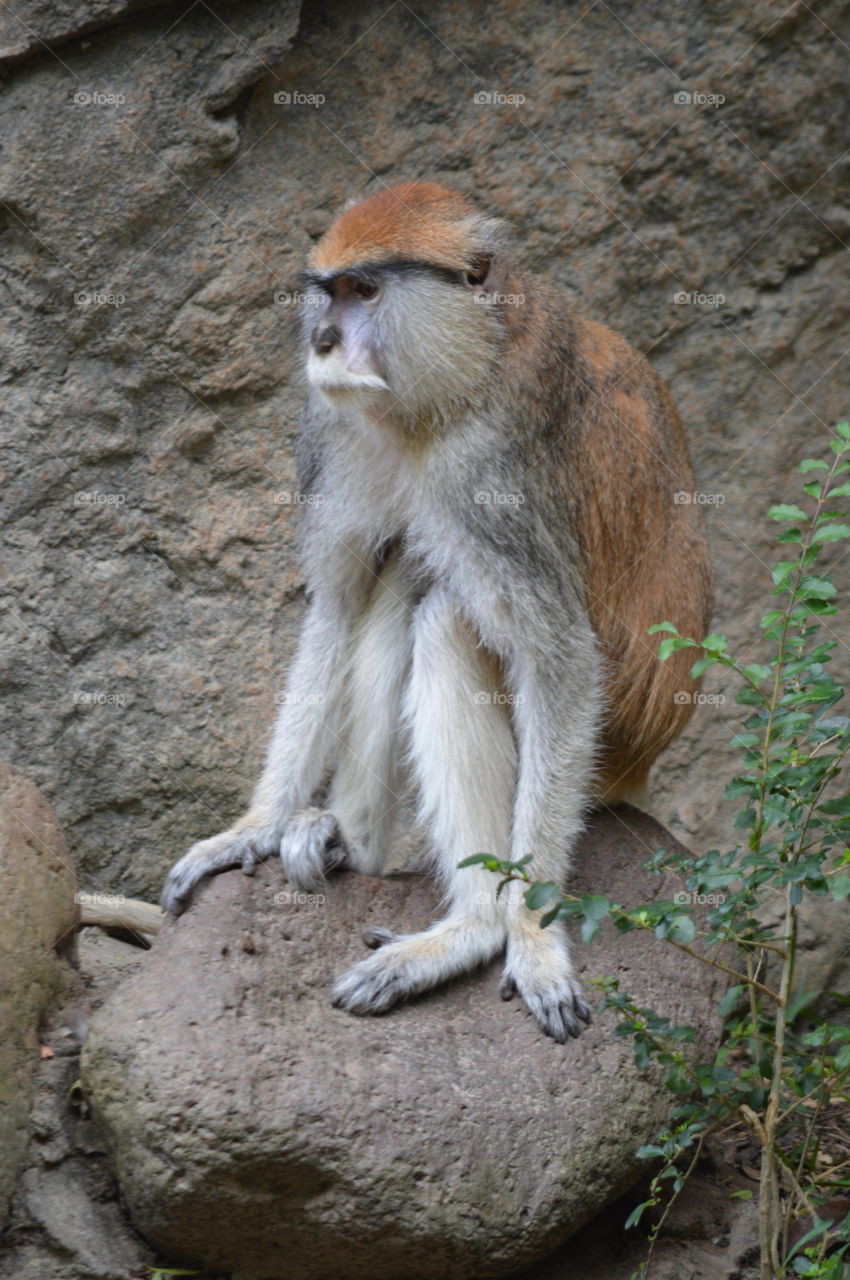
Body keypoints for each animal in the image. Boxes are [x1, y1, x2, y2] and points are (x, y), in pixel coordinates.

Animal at [161, 181, 713, 1043]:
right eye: (326, 291)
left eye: (366, 291)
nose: (322, 339)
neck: (464, 363)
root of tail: (648, 758)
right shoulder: (335, 430)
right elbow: (338, 603)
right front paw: (253, 826)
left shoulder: (487, 465)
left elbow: (559, 662)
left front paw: (527, 936)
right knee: (404, 575)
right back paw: (348, 843)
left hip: (615, 735)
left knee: (450, 615)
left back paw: (473, 928)